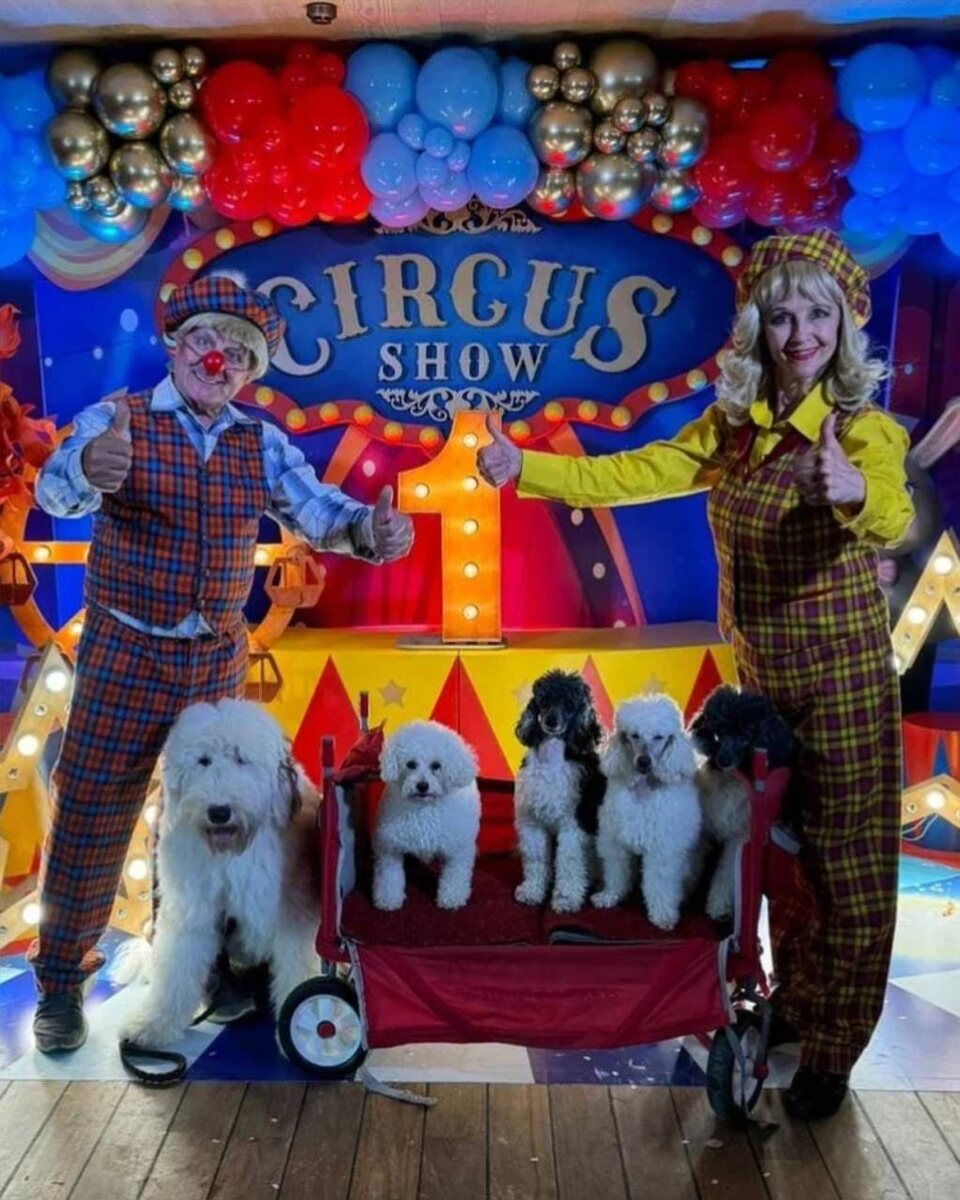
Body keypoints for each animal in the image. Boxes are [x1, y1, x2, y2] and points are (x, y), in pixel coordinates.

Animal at [116, 699, 321, 1048]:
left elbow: (299, 971)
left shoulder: (292, 911)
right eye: (203, 760)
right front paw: (153, 1025)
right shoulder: (190, 907)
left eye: (241, 759)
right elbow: (175, 968)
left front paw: (308, 1031)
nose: (219, 812)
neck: (231, 853)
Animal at [373, 720, 480, 911]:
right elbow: (389, 876)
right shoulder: (390, 848)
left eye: (436, 765)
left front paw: (451, 898)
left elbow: (455, 875)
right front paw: (389, 899)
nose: (422, 786)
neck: (424, 808)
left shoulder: (458, 849)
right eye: (410, 764)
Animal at [513, 669, 606, 913]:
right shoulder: (533, 823)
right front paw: (532, 891)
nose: (551, 720)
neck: (551, 761)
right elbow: (536, 860)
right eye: (544, 701)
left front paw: (566, 899)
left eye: (570, 704)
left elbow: (569, 863)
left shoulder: (573, 826)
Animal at [593, 694, 702, 930]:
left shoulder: (663, 849)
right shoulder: (615, 840)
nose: (643, 762)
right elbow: (616, 869)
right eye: (634, 735)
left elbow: (659, 882)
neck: (643, 789)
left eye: (659, 737)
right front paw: (611, 896)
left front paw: (662, 915)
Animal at [690, 684, 797, 921]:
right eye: (718, 733)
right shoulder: (702, 828)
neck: (729, 780)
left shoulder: (739, 837)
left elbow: (727, 874)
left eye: (746, 737)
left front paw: (718, 906)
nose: (723, 760)